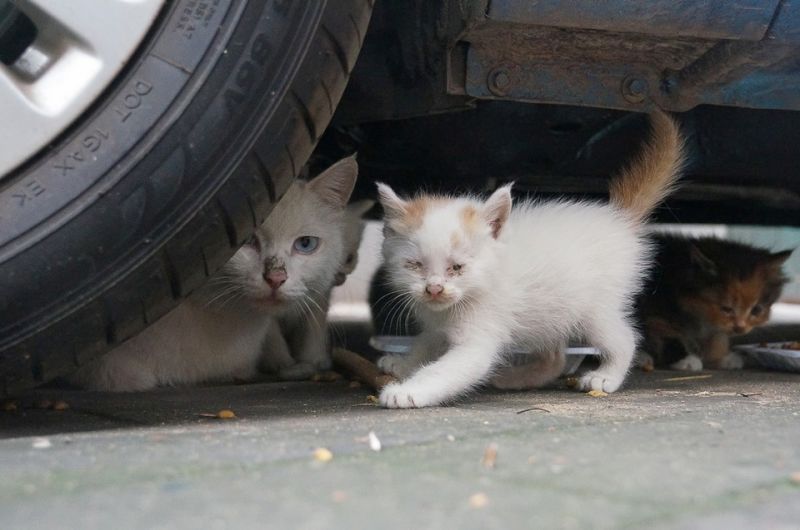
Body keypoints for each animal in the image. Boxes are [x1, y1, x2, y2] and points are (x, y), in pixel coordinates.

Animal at [374, 112, 680, 408]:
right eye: (415, 265)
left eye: (457, 268)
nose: (434, 289)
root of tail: (618, 219)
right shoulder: (437, 324)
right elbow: (425, 343)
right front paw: (403, 364)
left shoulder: (479, 334)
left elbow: (445, 370)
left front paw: (407, 392)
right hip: (552, 310)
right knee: (555, 358)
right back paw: (514, 379)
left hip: (595, 308)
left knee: (625, 338)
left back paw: (605, 377)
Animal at [636, 233, 792, 370]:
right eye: (726, 308)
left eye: (756, 310)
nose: (739, 328)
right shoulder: (655, 316)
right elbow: (671, 338)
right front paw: (687, 360)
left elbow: (717, 336)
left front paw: (721, 358)